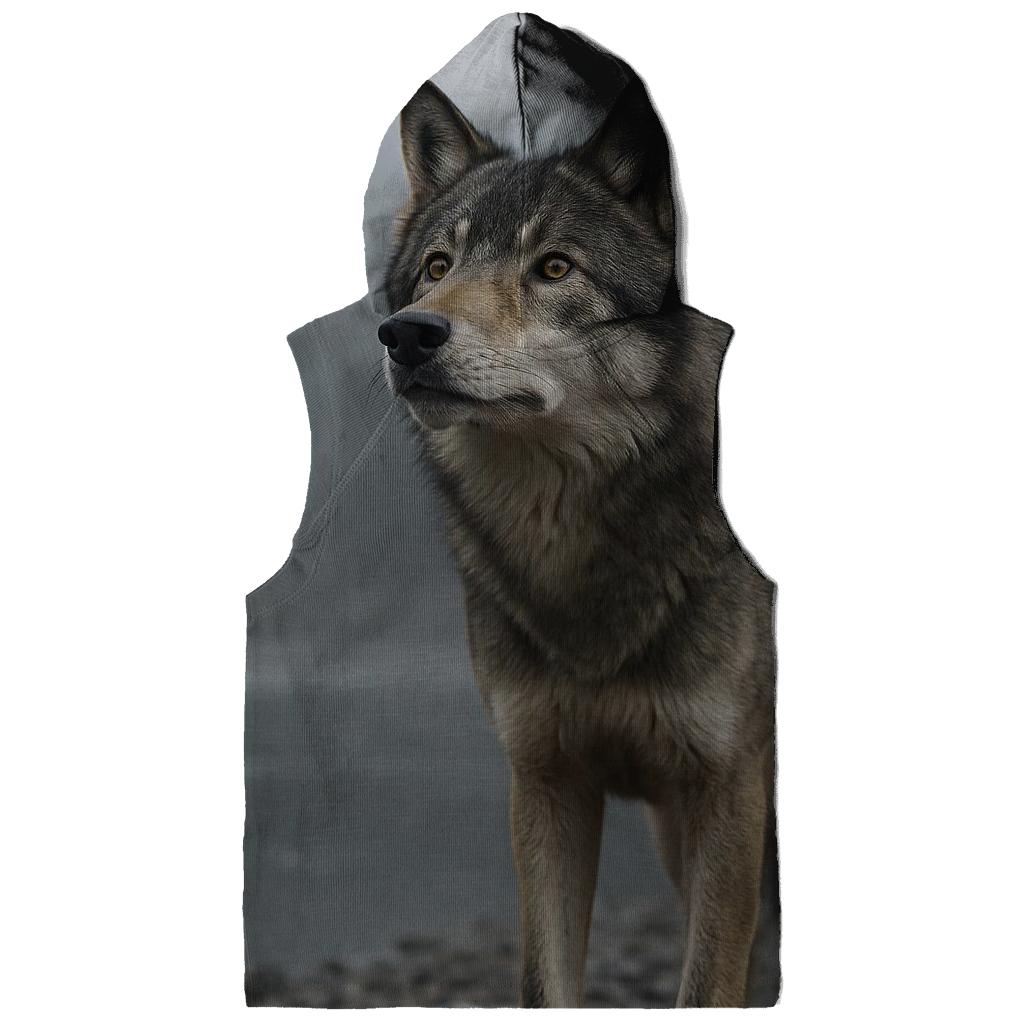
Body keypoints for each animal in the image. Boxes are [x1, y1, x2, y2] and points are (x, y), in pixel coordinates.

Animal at [379, 77, 778, 1008]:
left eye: (555, 268)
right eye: (438, 268)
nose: (408, 334)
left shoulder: (728, 792)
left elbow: (709, 984)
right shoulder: (547, 783)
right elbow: (544, 980)